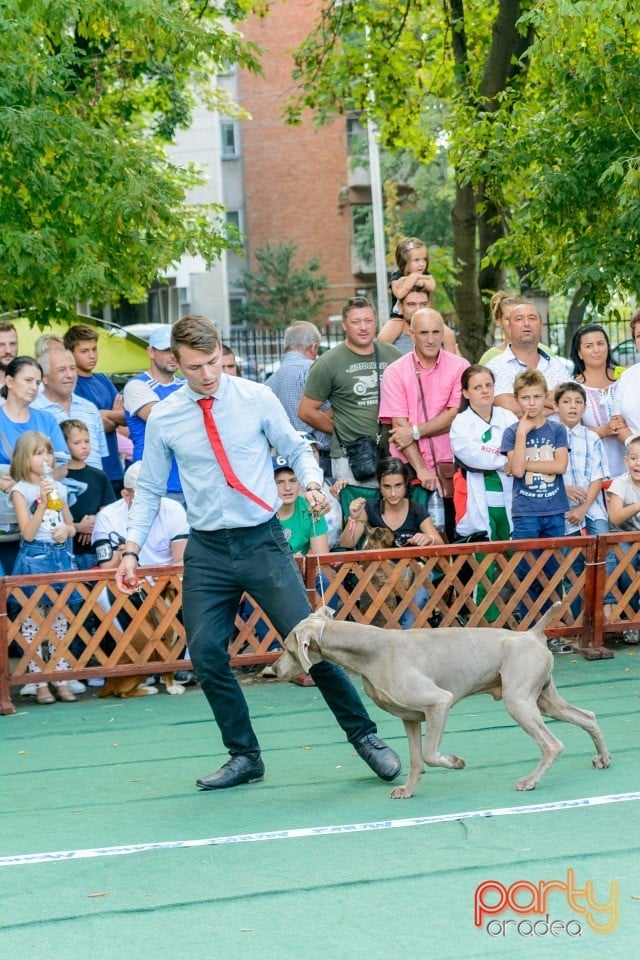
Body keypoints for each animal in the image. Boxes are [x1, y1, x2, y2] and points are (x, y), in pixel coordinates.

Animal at [278, 604, 612, 800]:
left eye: (287, 647)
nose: (274, 670)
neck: (372, 649)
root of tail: (532, 634)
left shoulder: (439, 703)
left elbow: (428, 754)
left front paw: (455, 762)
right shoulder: (411, 717)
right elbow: (415, 759)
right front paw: (408, 790)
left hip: (518, 702)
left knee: (552, 745)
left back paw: (530, 781)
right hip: (543, 699)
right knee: (588, 716)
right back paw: (604, 758)